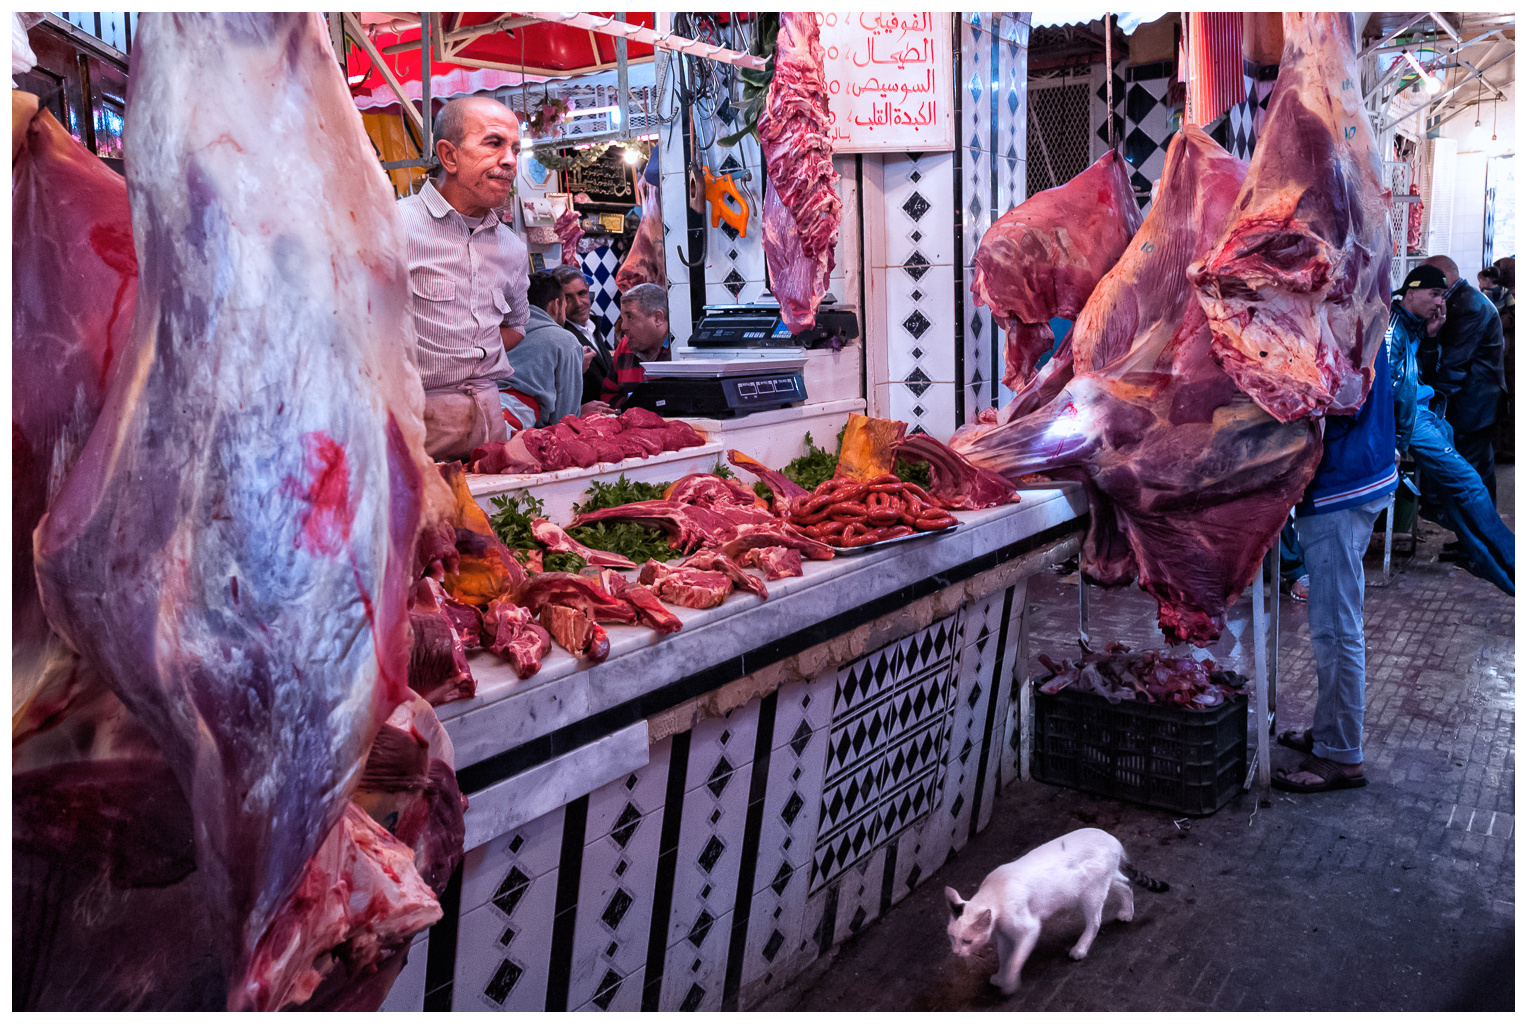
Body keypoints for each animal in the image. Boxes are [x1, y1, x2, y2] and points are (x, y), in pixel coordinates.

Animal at [940, 830, 1166, 995]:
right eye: (951, 937)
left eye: (967, 941)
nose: (956, 953)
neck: (994, 893)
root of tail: (1112, 839)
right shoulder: (1004, 935)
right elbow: (1005, 957)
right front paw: (1001, 977)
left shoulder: (1029, 929)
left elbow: (1015, 960)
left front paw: (1009, 984)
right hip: (1105, 881)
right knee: (1126, 884)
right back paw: (1127, 912)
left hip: (1091, 893)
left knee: (1095, 921)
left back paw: (1080, 949)